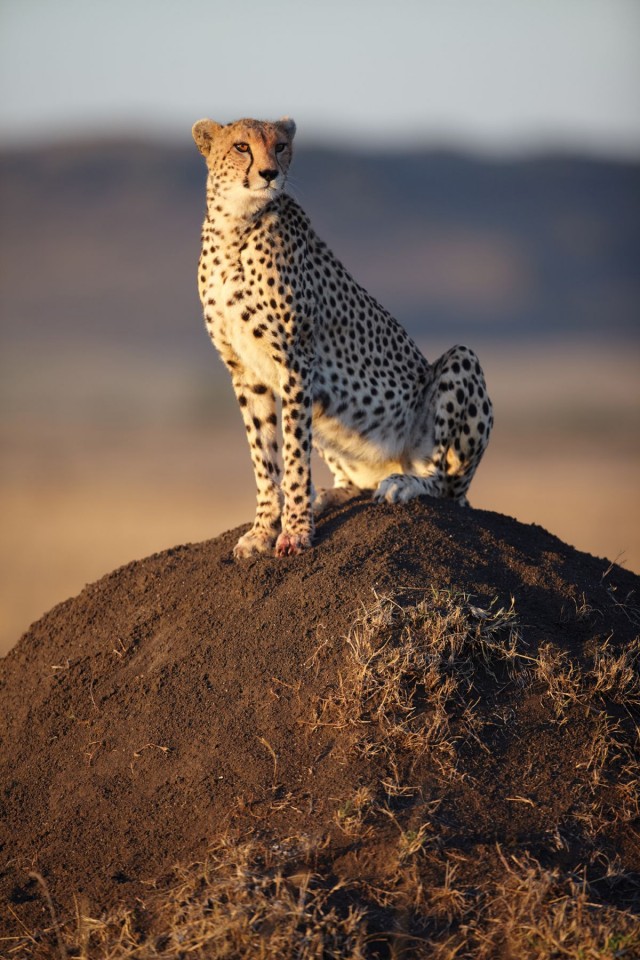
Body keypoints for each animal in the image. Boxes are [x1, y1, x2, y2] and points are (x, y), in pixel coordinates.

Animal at [192, 116, 492, 560]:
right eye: (242, 147)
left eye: (280, 146)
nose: (269, 173)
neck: (236, 223)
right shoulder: (245, 370)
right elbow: (264, 457)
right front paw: (263, 528)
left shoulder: (295, 361)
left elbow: (293, 457)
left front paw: (295, 531)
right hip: (327, 411)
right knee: (357, 484)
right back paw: (330, 495)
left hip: (460, 364)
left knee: (442, 482)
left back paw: (403, 484)